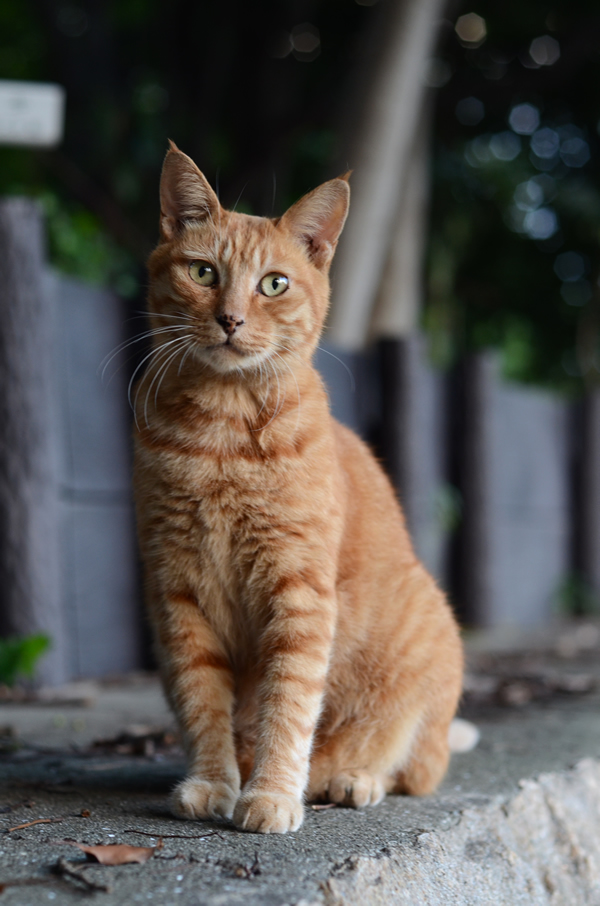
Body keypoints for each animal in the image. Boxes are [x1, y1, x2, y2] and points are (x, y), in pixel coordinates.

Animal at [135, 143, 464, 832]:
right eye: (203, 273)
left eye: (274, 284)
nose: (230, 319)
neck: (221, 435)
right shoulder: (178, 593)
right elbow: (203, 699)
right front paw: (214, 782)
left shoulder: (298, 591)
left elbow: (287, 701)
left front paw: (271, 794)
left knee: (411, 767)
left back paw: (349, 780)